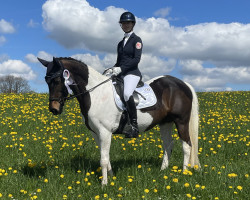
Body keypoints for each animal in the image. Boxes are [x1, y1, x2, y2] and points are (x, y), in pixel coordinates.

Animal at [38, 55, 200, 184]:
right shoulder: (96, 133)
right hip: (165, 123)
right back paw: (163, 171)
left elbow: (103, 159)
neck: (95, 93)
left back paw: (184, 172)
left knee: (187, 145)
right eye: (46, 80)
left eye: (57, 80)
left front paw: (104, 184)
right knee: (168, 145)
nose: (54, 109)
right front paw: (111, 176)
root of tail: (183, 84)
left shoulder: (105, 132)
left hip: (181, 121)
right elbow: (105, 156)